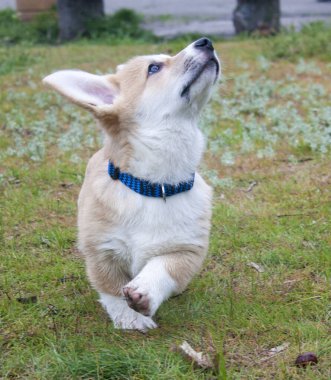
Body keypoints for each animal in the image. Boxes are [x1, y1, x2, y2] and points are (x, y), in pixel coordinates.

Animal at [43, 37, 220, 332]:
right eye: (154, 68)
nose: (205, 41)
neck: (154, 186)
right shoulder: (101, 252)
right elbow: (111, 288)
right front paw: (129, 319)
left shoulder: (186, 250)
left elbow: (163, 266)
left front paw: (145, 291)